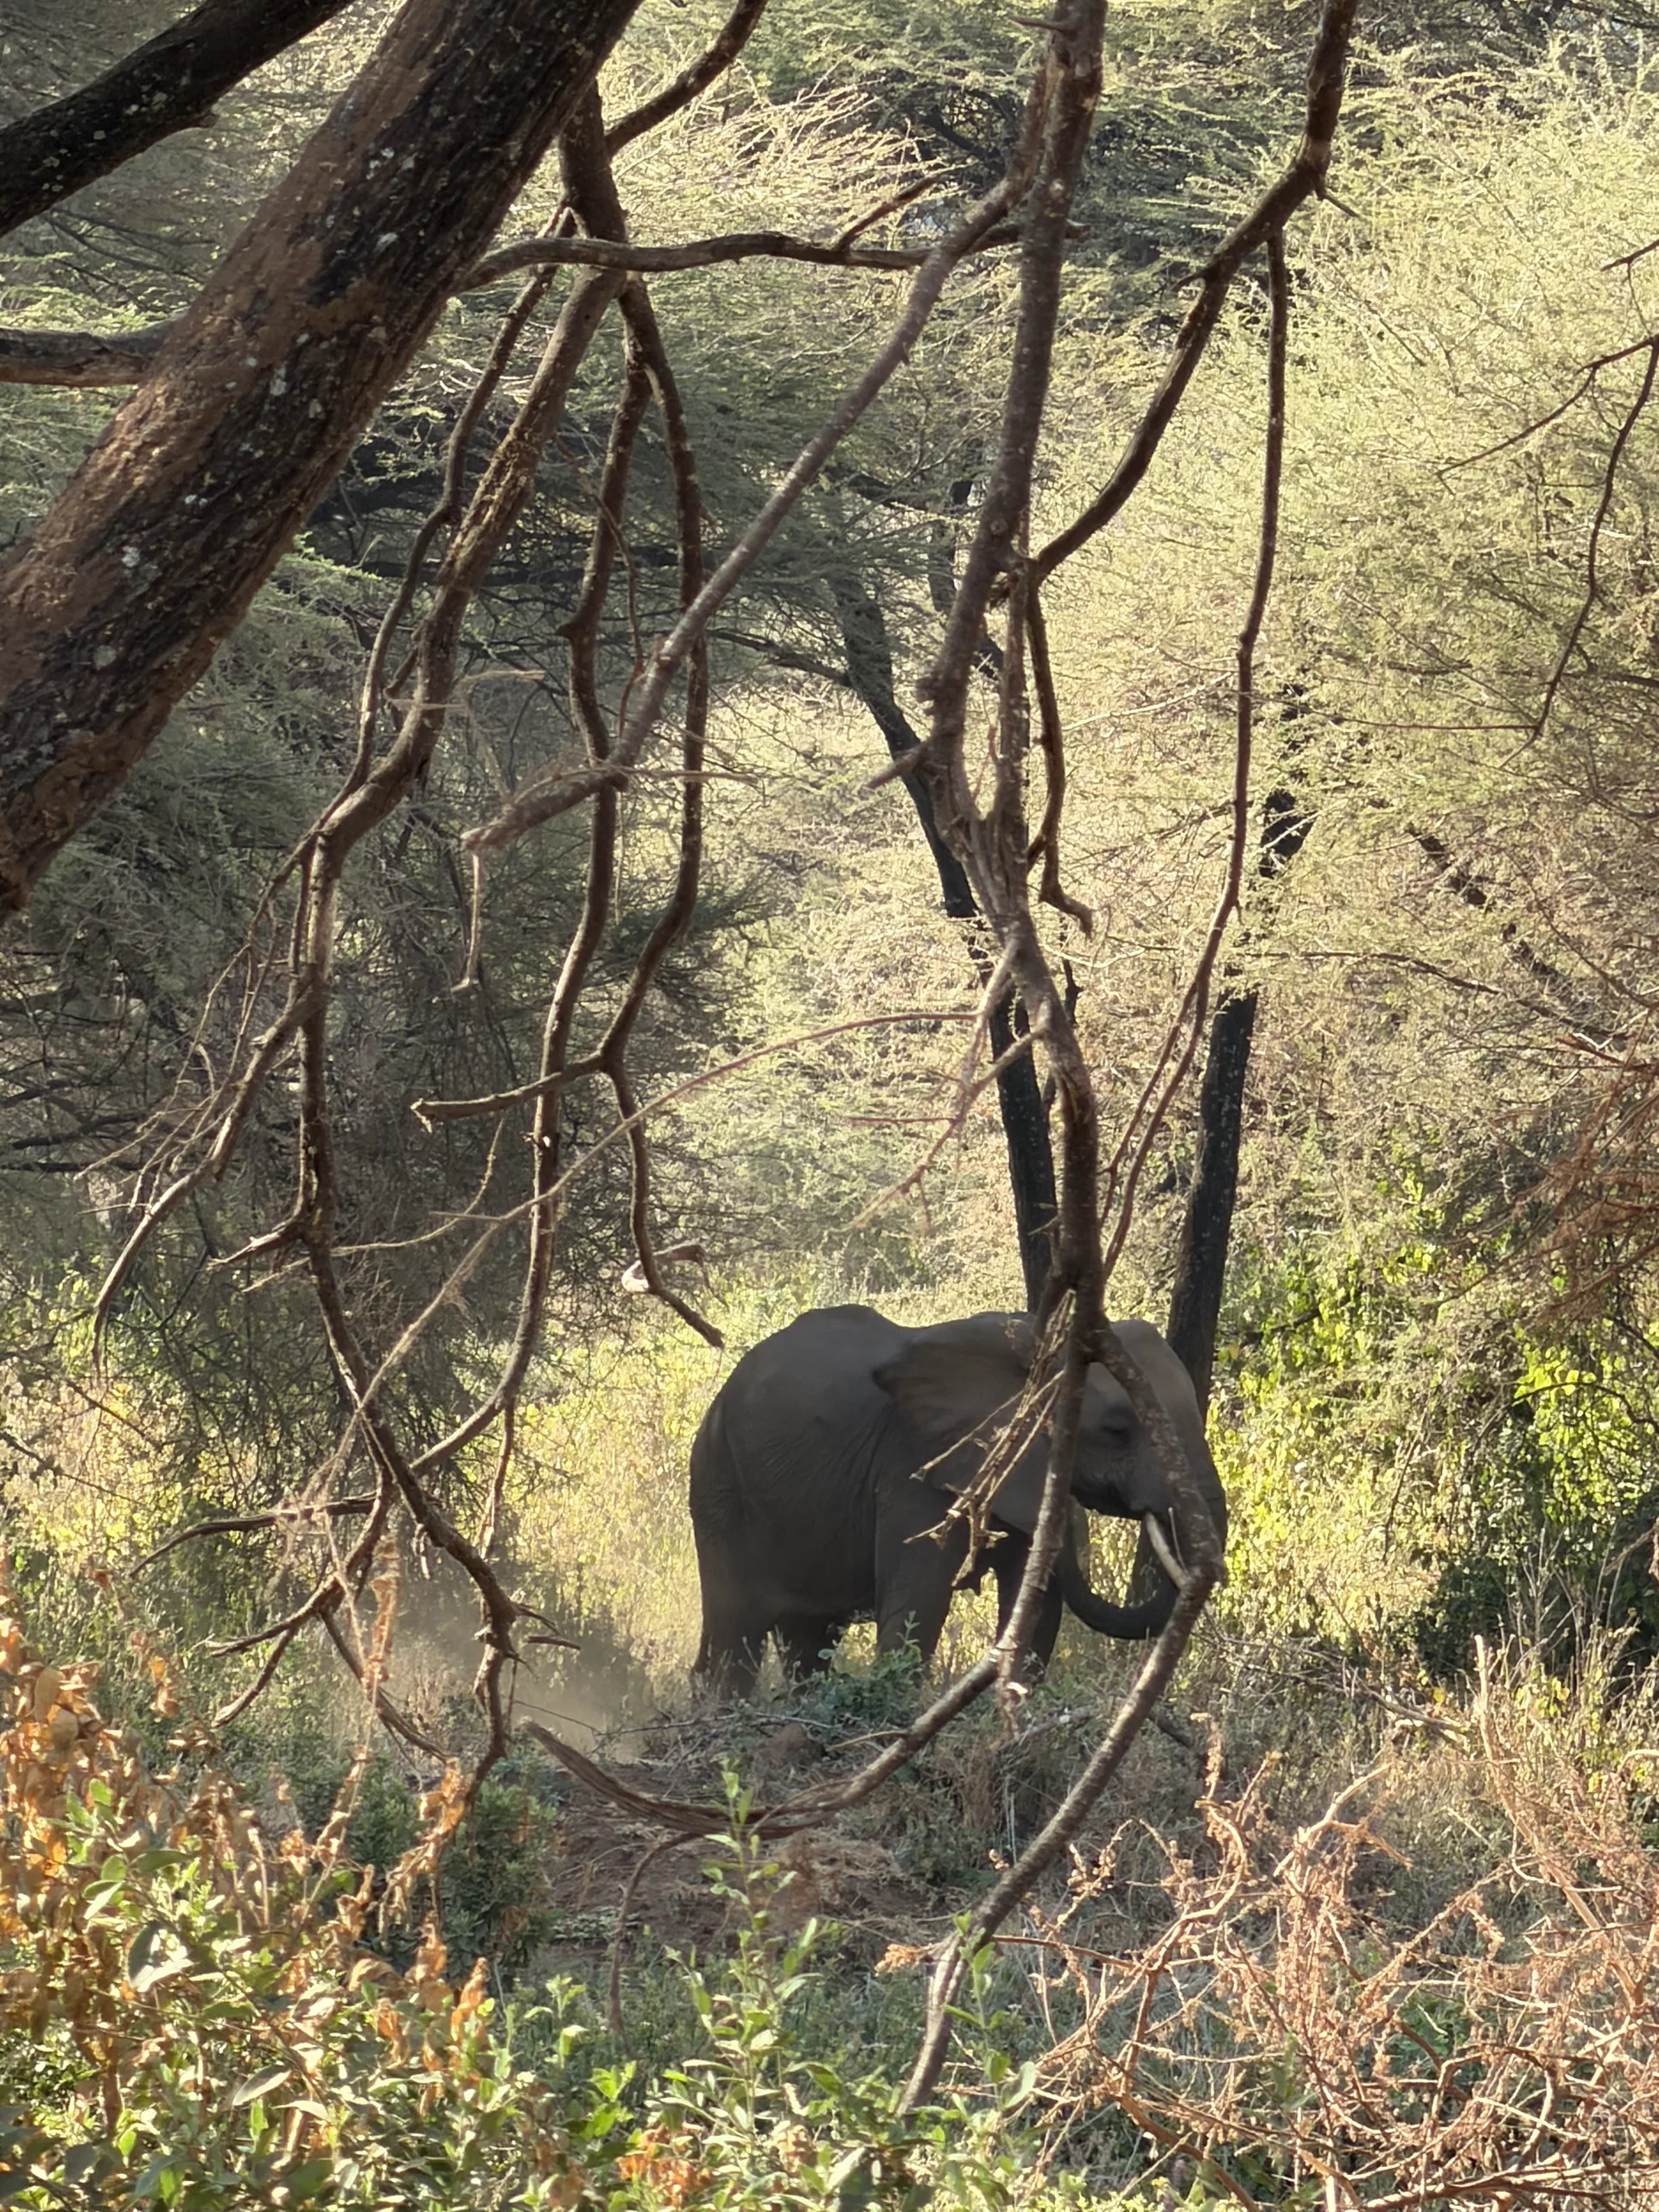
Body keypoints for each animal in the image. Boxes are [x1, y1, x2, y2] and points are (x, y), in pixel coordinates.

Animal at [688, 1304, 1225, 1695]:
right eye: (1116, 1430)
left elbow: (1034, 1607)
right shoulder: (914, 1465)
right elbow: (919, 1604)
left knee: (808, 1638)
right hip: (718, 1483)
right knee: (738, 1632)